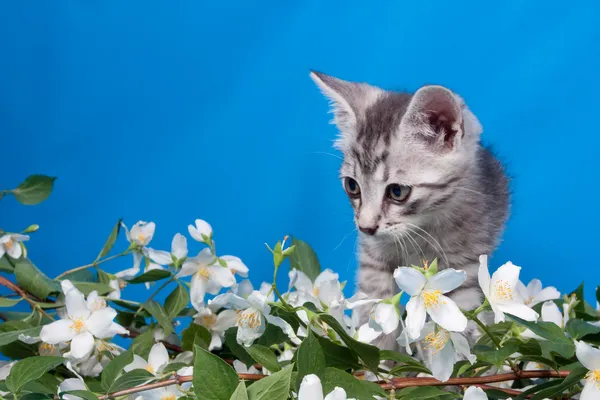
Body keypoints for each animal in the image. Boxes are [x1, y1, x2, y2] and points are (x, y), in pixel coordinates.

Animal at [312, 72, 508, 354]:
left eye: (397, 191)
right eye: (352, 186)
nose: (365, 227)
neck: (421, 229)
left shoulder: (464, 267)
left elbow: (457, 322)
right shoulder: (372, 261)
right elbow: (377, 310)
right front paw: (378, 359)